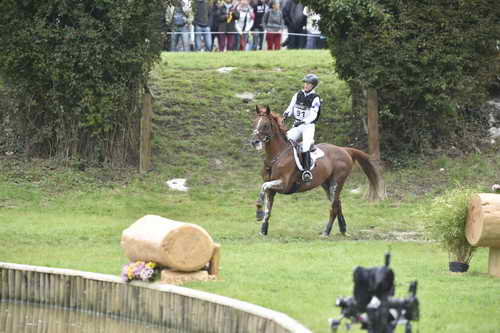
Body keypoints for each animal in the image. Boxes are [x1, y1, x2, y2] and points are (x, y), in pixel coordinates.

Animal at [252, 104, 384, 236]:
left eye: (265, 125)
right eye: (254, 123)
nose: (254, 142)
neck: (276, 156)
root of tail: (344, 150)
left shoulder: (284, 184)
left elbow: (263, 187)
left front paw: (258, 212)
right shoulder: (272, 189)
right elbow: (268, 208)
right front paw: (263, 230)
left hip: (336, 183)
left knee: (334, 207)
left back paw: (326, 232)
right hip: (326, 184)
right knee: (338, 204)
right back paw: (343, 230)